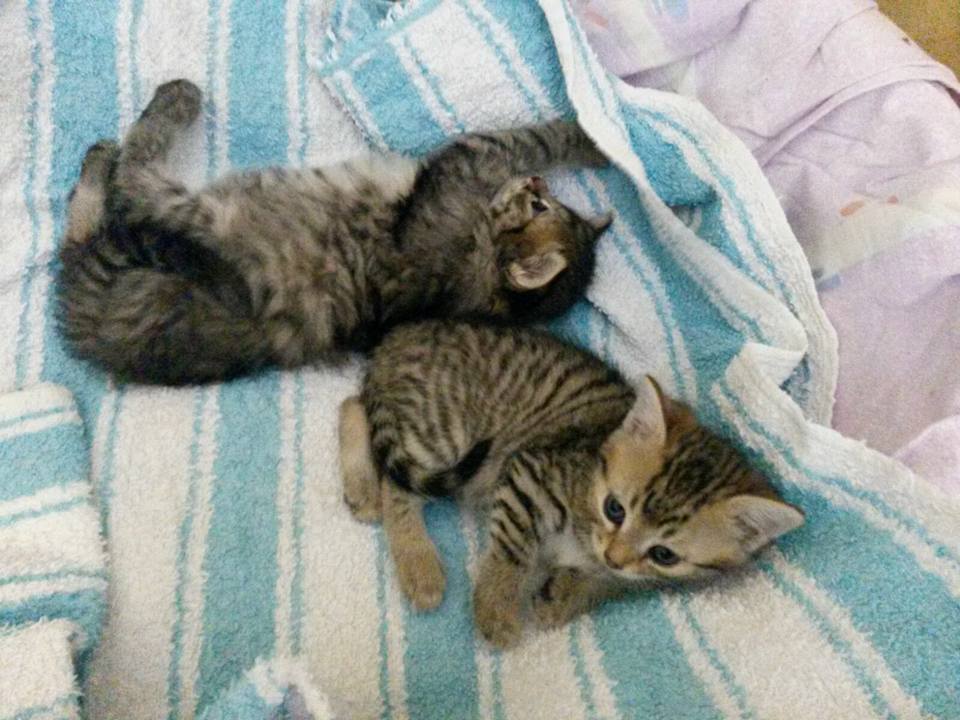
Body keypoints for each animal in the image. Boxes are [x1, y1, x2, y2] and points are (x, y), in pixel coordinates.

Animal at [57, 79, 613, 385]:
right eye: (545, 203)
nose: (539, 184)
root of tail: (92, 333)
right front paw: (600, 138)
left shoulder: (470, 159)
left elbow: (531, 138)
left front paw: (586, 134)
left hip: (189, 214)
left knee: (125, 183)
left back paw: (147, 122)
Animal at [339, 320, 805, 648]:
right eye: (614, 508)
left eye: (664, 554)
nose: (614, 555)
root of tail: (400, 334)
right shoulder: (527, 474)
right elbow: (512, 550)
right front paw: (496, 608)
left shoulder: (643, 578)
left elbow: (611, 585)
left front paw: (566, 595)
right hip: (447, 431)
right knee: (398, 481)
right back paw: (417, 561)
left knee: (355, 405)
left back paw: (362, 489)